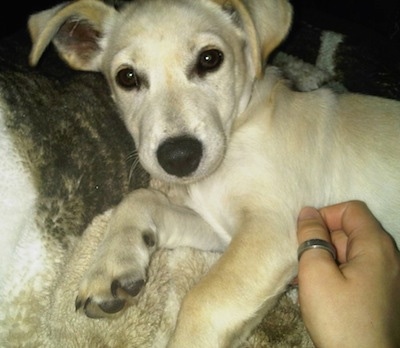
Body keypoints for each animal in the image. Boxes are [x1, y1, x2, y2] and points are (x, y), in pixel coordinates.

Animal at [28, 0, 400, 346]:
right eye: (127, 77)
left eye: (210, 59)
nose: (179, 157)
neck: (240, 129)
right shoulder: (220, 229)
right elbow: (141, 198)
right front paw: (112, 263)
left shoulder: (271, 228)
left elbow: (203, 300)